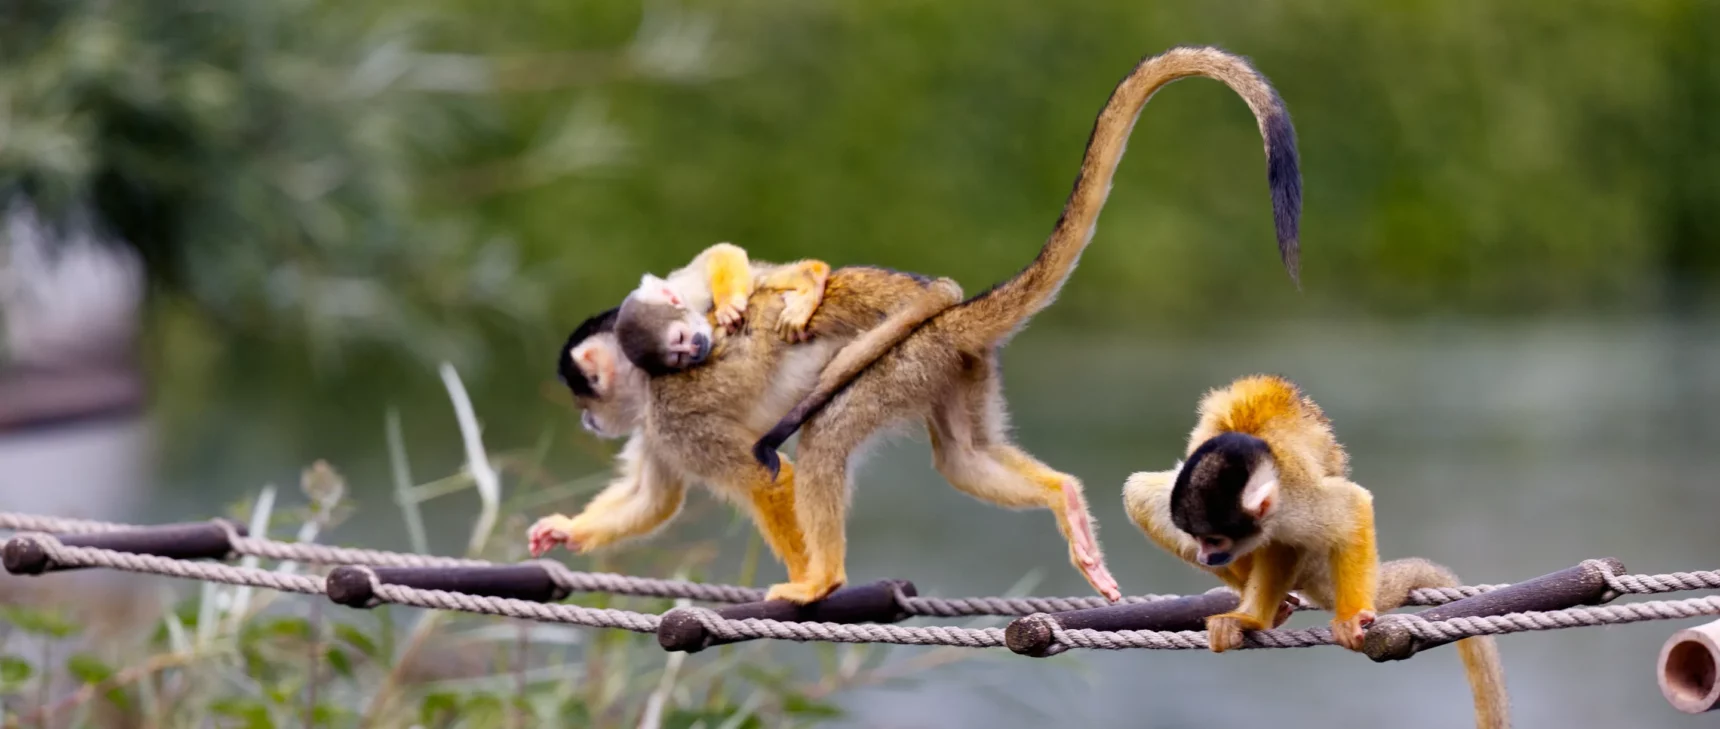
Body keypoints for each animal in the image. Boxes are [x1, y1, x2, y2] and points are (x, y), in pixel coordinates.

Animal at [743, 44, 1300, 605]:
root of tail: (951, 323)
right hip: (954, 368)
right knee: (962, 457)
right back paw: (1062, 494)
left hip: (908, 363)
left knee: (831, 432)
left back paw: (822, 578)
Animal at [1128, 376, 1506, 729]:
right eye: (1198, 537)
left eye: (1216, 540)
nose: (1206, 557)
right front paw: (1250, 615)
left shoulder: (1295, 502)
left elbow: (1351, 506)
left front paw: (1350, 617)